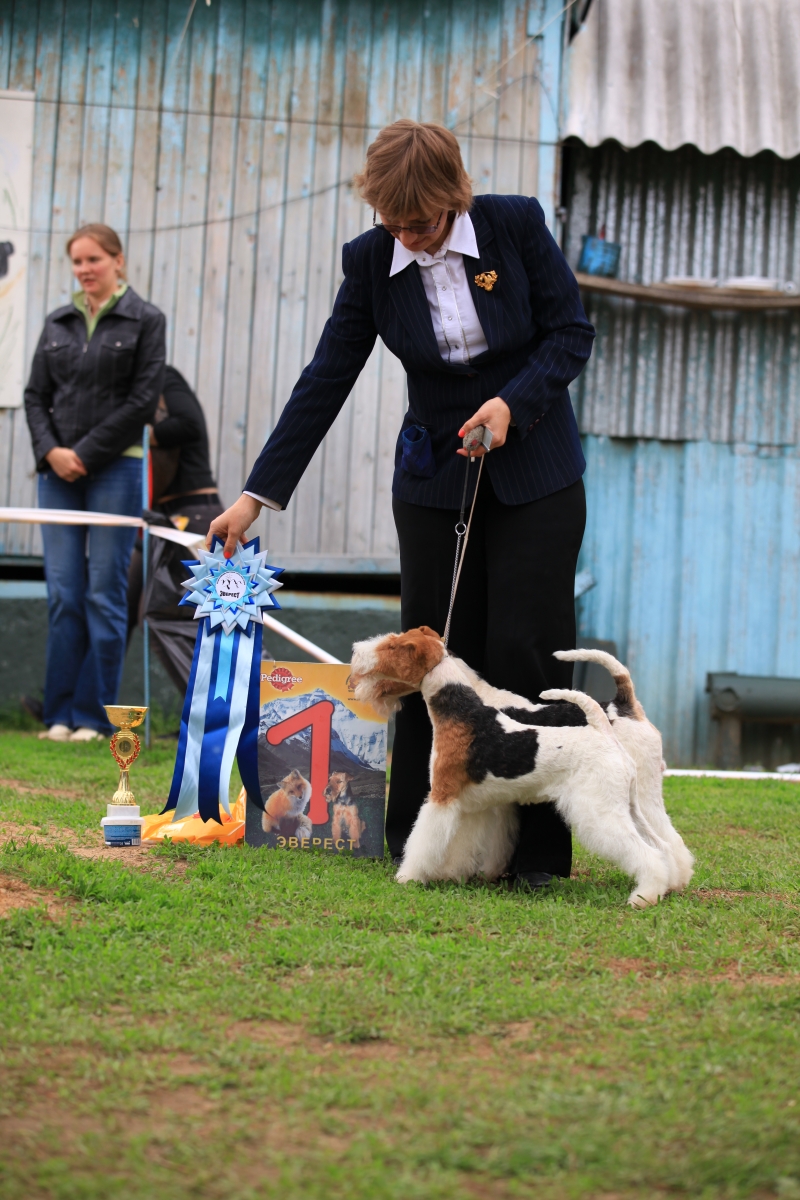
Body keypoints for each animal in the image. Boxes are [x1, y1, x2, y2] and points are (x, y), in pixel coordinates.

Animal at [350, 633, 695, 902]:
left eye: (394, 646)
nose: (355, 652)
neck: (467, 710)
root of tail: (617, 714)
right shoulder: (474, 806)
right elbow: (462, 844)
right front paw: (454, 874)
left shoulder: (443, 796)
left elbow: (424, 841)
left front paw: (408, 876)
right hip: (631, 804)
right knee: (663, 844)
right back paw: (668, 884)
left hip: (604, 809)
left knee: (646, 852)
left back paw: (644, 896)